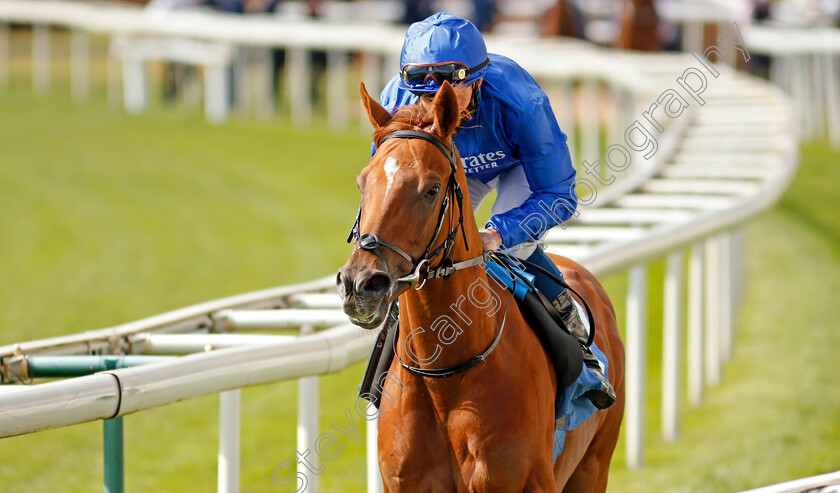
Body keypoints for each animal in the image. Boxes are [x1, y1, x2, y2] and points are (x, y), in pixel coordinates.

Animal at [336, 81, 624, 492]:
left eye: (431, 189)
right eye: (363, 182)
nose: (361, 284)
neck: (444, 376)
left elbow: (557, 191)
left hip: (593, 467)